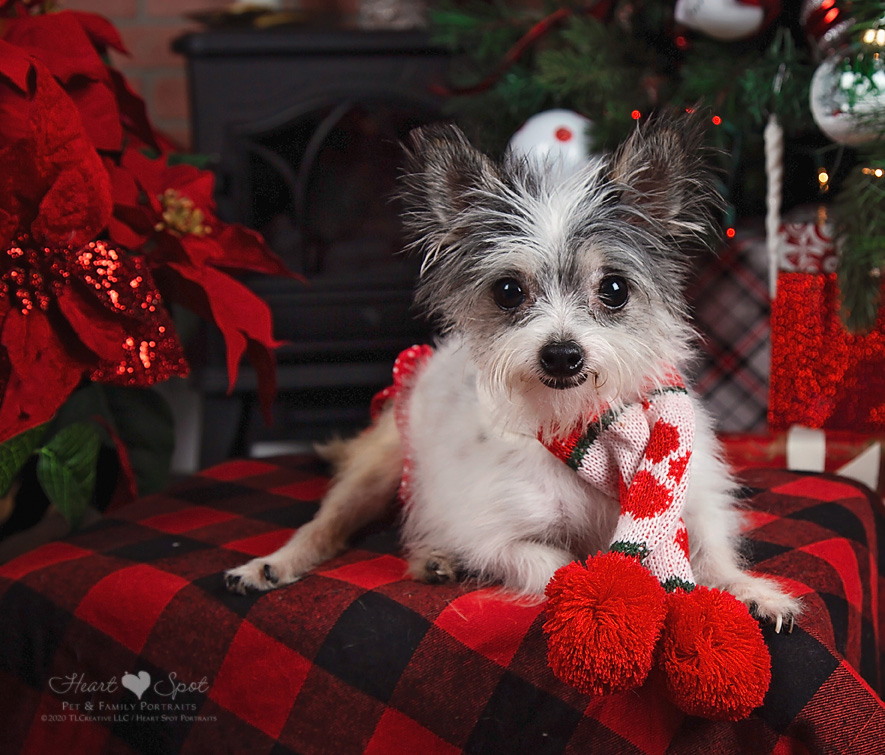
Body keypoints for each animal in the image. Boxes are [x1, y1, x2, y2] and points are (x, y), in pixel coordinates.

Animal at [224, 113, 796, 632]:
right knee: (330, 524)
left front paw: (752, 592)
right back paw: (275, 564)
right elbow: (555, 562)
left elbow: (714, 555)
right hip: (379, 468)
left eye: (614, 289)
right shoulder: (496, 536)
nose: (562, 355)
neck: (583, 426)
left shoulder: (694, 506)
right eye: (507, 291)